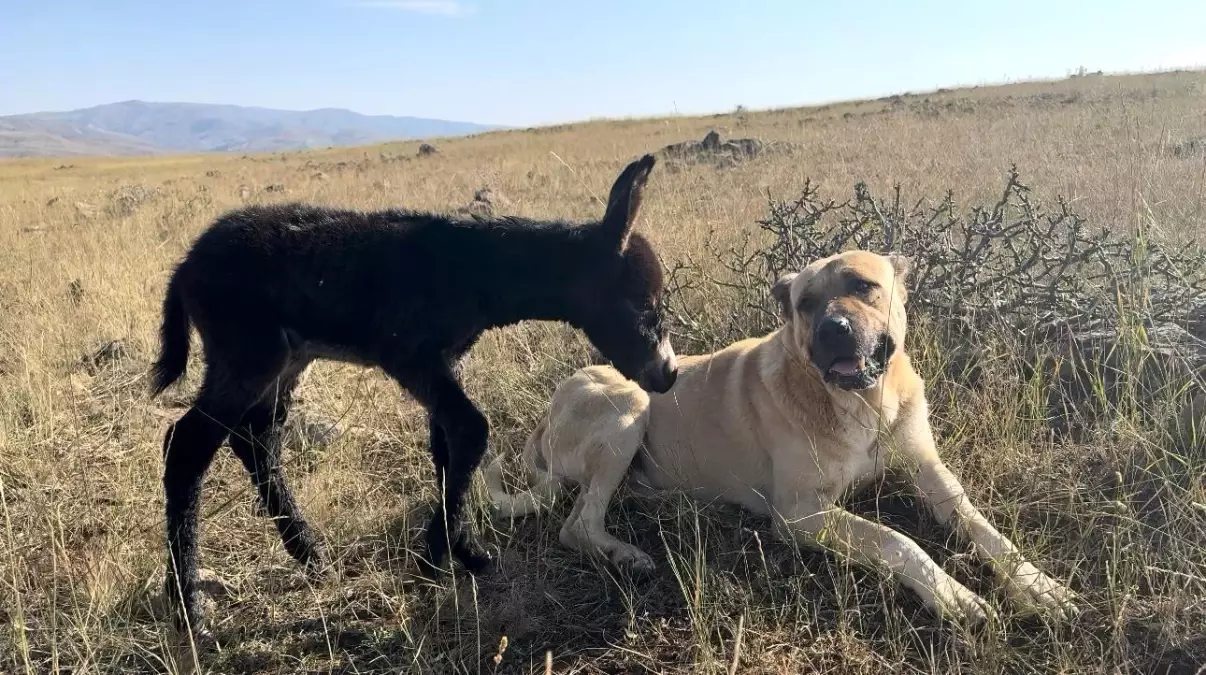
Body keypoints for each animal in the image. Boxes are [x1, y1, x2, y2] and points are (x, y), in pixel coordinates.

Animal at [150, 154, 680, 636]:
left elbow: (446, 445)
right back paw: (188, 609)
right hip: (248, 354)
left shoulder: (444, 362)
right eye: (644, 304)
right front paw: (433, 560)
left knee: (255, 440)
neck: (475, 268)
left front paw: (465, 552)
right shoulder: (411, 358)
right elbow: (470, 431)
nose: (668, 375)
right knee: (187, 446)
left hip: (283, 362)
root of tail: (185, 266)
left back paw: (310, 554)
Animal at [484, 250, 1080, 626]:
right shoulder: (799, 515)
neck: (863, 404)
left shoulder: (929, 471)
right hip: (628, 404)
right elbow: (898, 541)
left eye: (863, 286)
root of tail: (545, 417)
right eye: (805, 303)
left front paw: (1038, 584)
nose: (834, 329)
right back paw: (625, 554)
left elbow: (982, 527)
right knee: (576, 524)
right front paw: (955, 596)